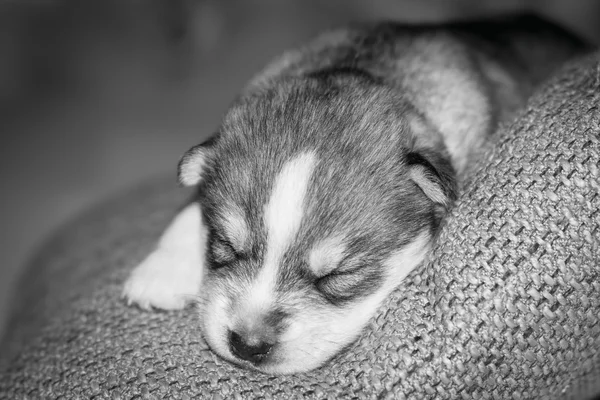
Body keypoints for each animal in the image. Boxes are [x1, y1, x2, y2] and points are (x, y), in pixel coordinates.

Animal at [120, 14, 584, 374]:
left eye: (338, 276)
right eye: (225, 246)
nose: (247, 345)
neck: (367, 67)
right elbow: (191, 204)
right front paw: (161, 272)